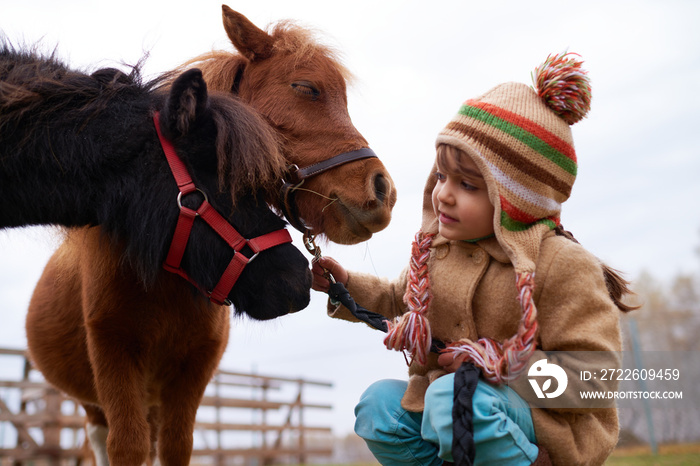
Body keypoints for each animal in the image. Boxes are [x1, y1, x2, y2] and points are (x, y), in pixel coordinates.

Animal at [26, 6, 394, 466]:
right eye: (306, 88)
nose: (382, 191)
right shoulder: (114, 356)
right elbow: (126, 447)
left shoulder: (194, 368)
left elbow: (176, 446)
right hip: (96, 403)